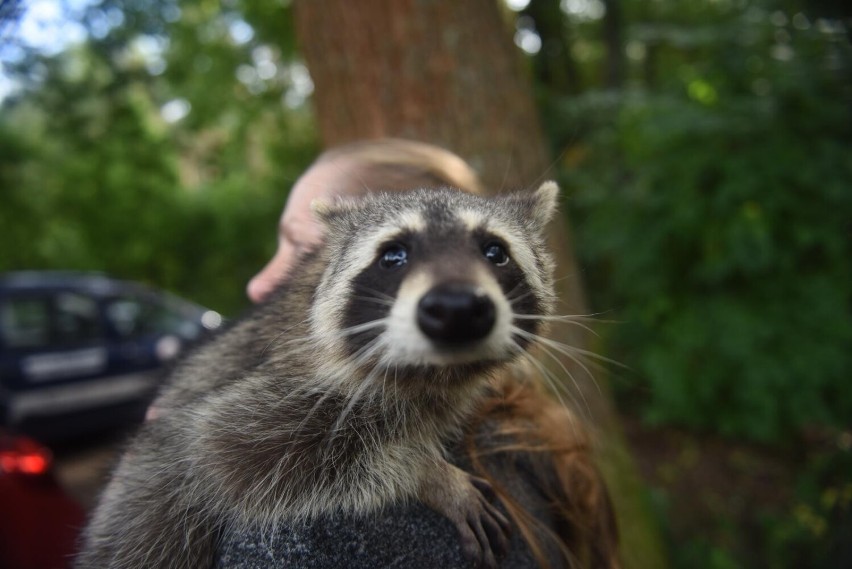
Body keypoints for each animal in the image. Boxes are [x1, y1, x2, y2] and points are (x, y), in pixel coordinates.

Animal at [78, 182, 560, 568]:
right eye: (393, 256)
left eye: (495, 252)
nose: (456, 307)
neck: (434, 375)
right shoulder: (276, 383)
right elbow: (218, 451)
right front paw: (425, 471)